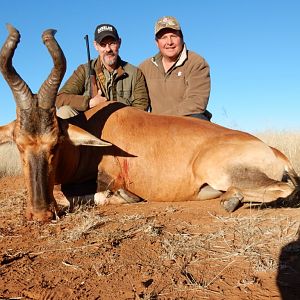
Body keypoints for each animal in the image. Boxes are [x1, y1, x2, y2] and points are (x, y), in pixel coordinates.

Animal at [0, 24, 300, 221]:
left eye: (56, 143)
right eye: (18, 144)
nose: (40, 214)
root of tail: (275, 152)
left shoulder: (109, 180)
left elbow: (83, 195)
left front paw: (125, 198)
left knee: (283, 188)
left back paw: (231, 200)